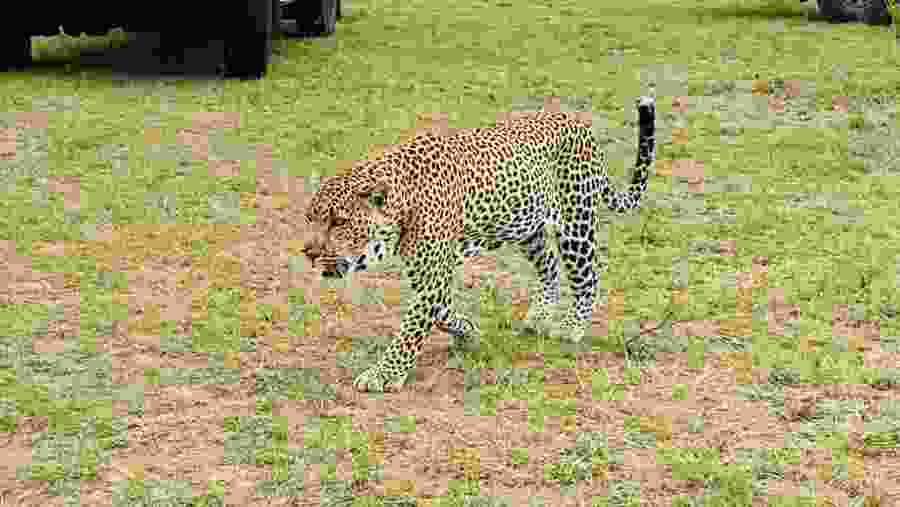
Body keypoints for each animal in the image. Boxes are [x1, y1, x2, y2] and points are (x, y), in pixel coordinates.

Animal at [302, 96, 656, 393]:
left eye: (338, 222)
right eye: (310, 218)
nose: (309, 252)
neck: (404, 200)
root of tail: (579, 123)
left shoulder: (431, 276)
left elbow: (412, 328)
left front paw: (384, 375)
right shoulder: (429, 275)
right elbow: (441, 312)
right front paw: (468, 332)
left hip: (576, 222)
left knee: (588, 277)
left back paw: (571, 327)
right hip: (527, 226)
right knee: (550, 268)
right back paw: (539, 316)